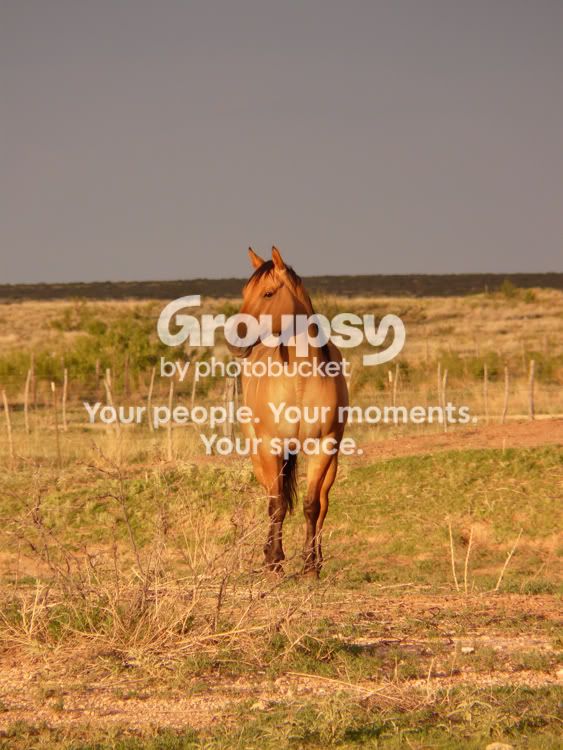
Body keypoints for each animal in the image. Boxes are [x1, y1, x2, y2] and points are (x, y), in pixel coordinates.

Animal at [227, 246, 348, 576]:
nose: (235, 341)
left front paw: (309, 565)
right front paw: (274, 560)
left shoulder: (323, 447)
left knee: (323, 503)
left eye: (268, 293)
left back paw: (317, 558)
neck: (300, 382)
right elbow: (277, 505)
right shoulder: (271, 446)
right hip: (259, 454)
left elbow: (311, 506)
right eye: (244, 291)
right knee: (273, 497)